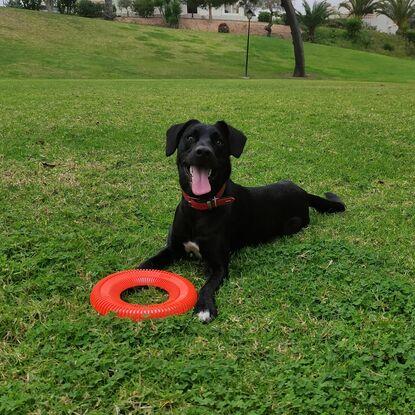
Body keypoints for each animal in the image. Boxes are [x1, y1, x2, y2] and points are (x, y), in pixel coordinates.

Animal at [138, 118, 346, 324]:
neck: (199, 209)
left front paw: (204, 307)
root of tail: (303, 192)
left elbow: (207, 286)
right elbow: (145, 266)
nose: (203, 151)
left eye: (219, 141)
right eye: (190, 137)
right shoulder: (172, 249)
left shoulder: (219, 265)